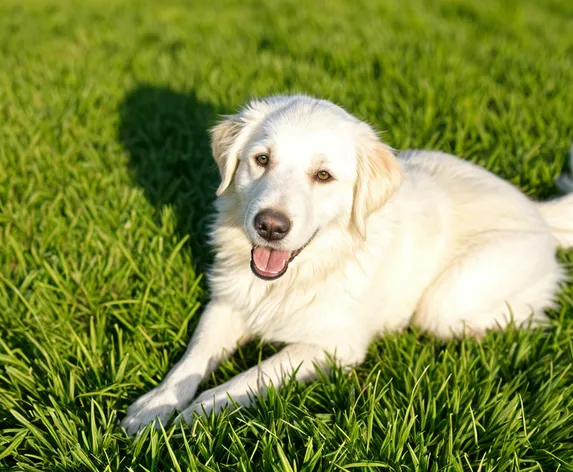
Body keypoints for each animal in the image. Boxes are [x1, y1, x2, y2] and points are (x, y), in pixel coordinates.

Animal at [120, 93, 572, 436]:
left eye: (323, 175)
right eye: (262, 160)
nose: (270, 226)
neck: (302, 272)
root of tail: (537, 210)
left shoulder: (334, 346)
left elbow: (248, 377)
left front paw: (193, 417)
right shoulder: (227, 305)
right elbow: (191, 360)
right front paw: (155, 406)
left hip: (445, 303)